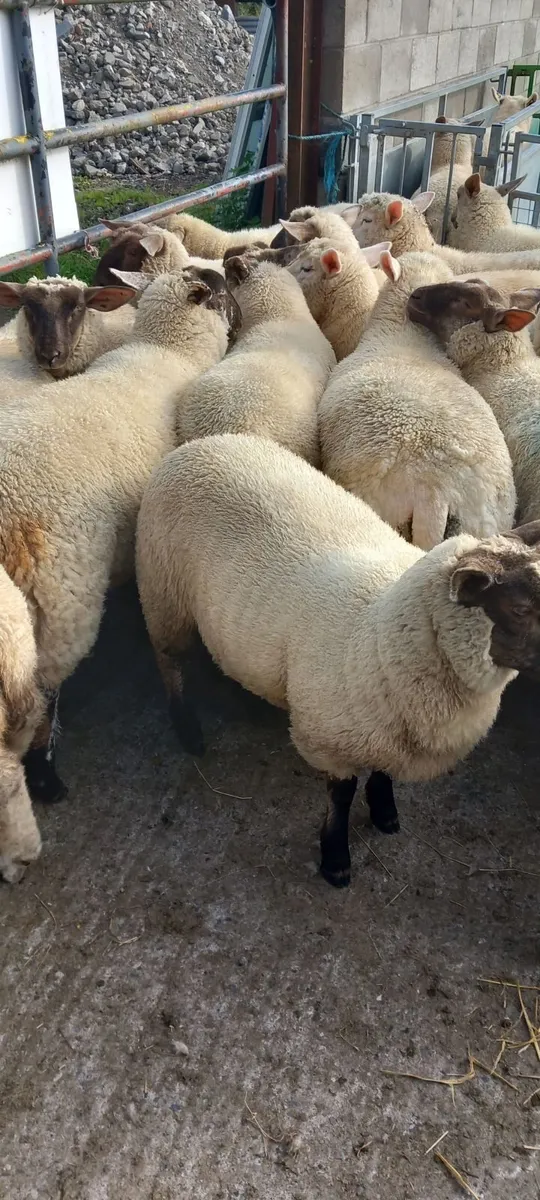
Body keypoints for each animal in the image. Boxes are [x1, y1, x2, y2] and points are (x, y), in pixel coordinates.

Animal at [135, 432, 540, 887]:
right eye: (520, 608)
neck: (380, 627)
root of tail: (204, 443)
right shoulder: (329, 739)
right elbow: (341, 797)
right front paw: (335, 858)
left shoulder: (387, 729)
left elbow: (381, 773)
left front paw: (385, 812)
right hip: (163, 594)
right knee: (169, 661)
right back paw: (188, 728)